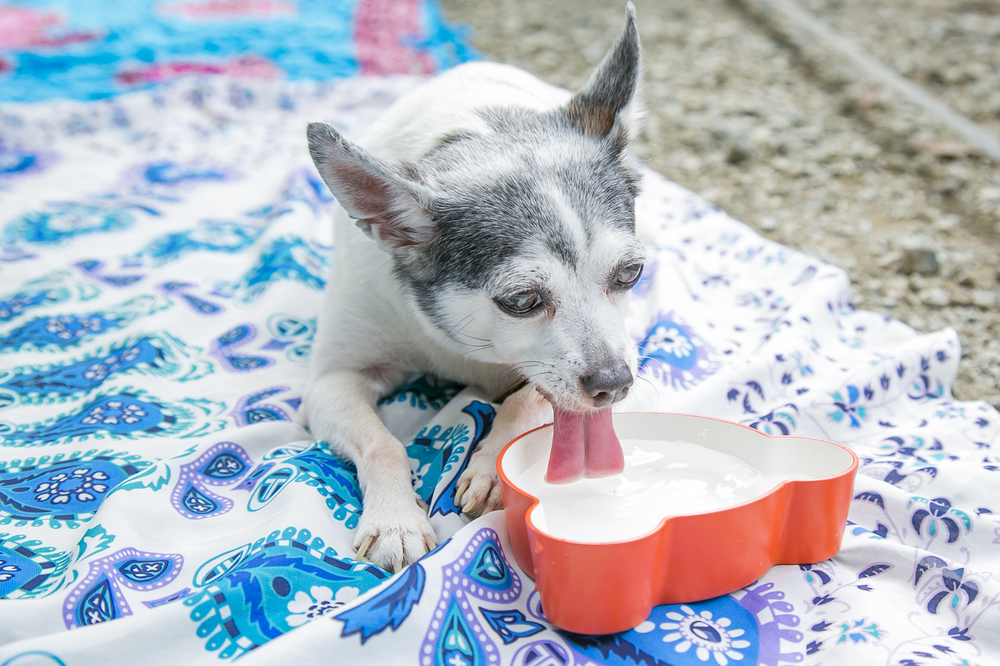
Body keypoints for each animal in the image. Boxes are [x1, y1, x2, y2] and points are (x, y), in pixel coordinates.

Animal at [304, 2, 644, 568]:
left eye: (630, 274)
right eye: (522, 301)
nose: (615, 384)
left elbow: (527, 399)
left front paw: (489, 469)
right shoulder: (332, 381)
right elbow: (381, 442)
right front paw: (395, 520)